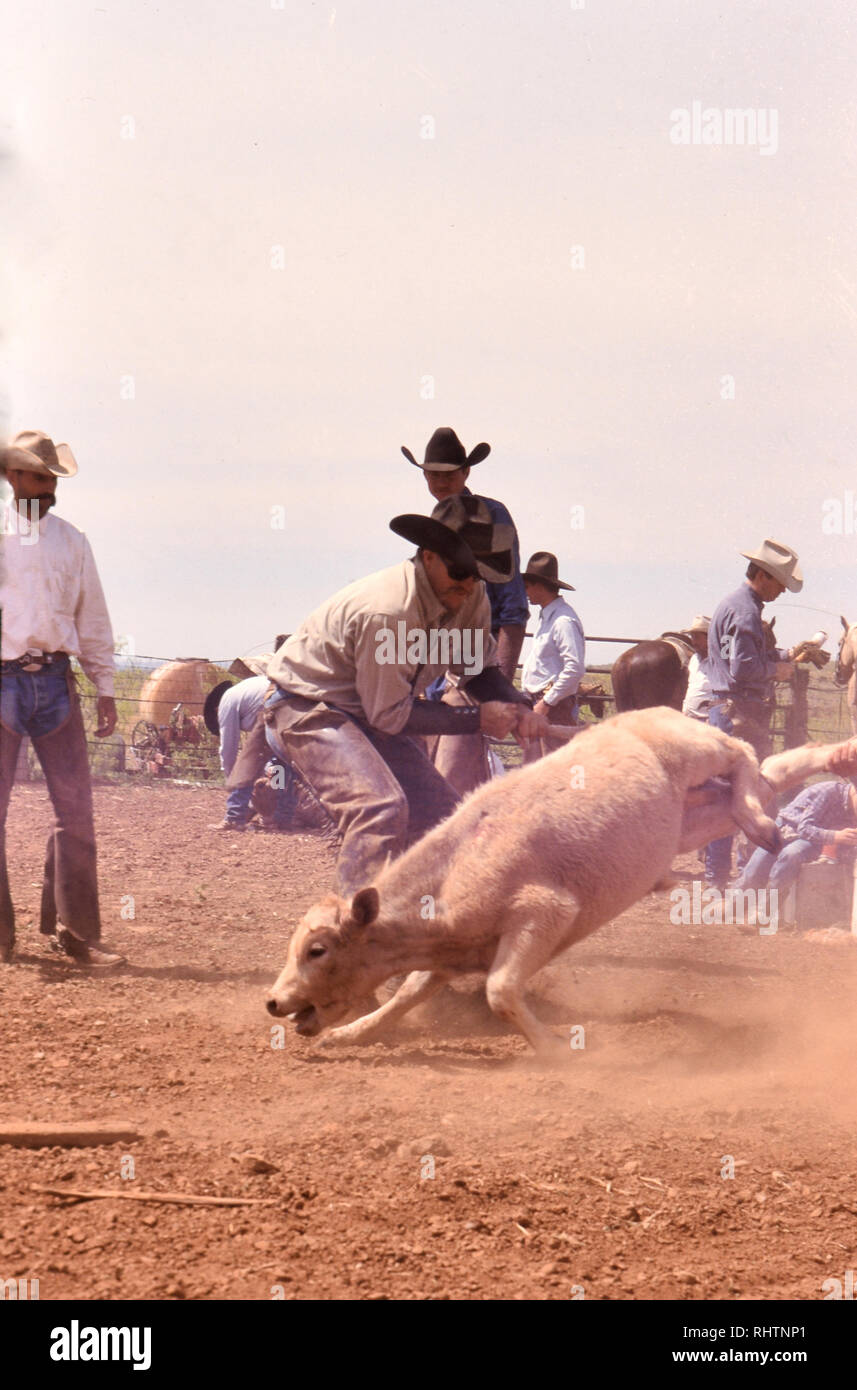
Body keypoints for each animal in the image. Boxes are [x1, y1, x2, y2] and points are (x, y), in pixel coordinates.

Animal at [266, 706, 855, 1050]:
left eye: (317, 950)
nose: (272, 1002)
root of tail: (654, 709)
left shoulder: (545, 913)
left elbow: (501, 992)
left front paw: (555, 1052)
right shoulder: (454, 954)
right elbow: (407, 995)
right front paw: (352, 1032)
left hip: (697, 751)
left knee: (744, 753)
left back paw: (762, 821)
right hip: (690, 816)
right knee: (774, 771)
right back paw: (796, 788)